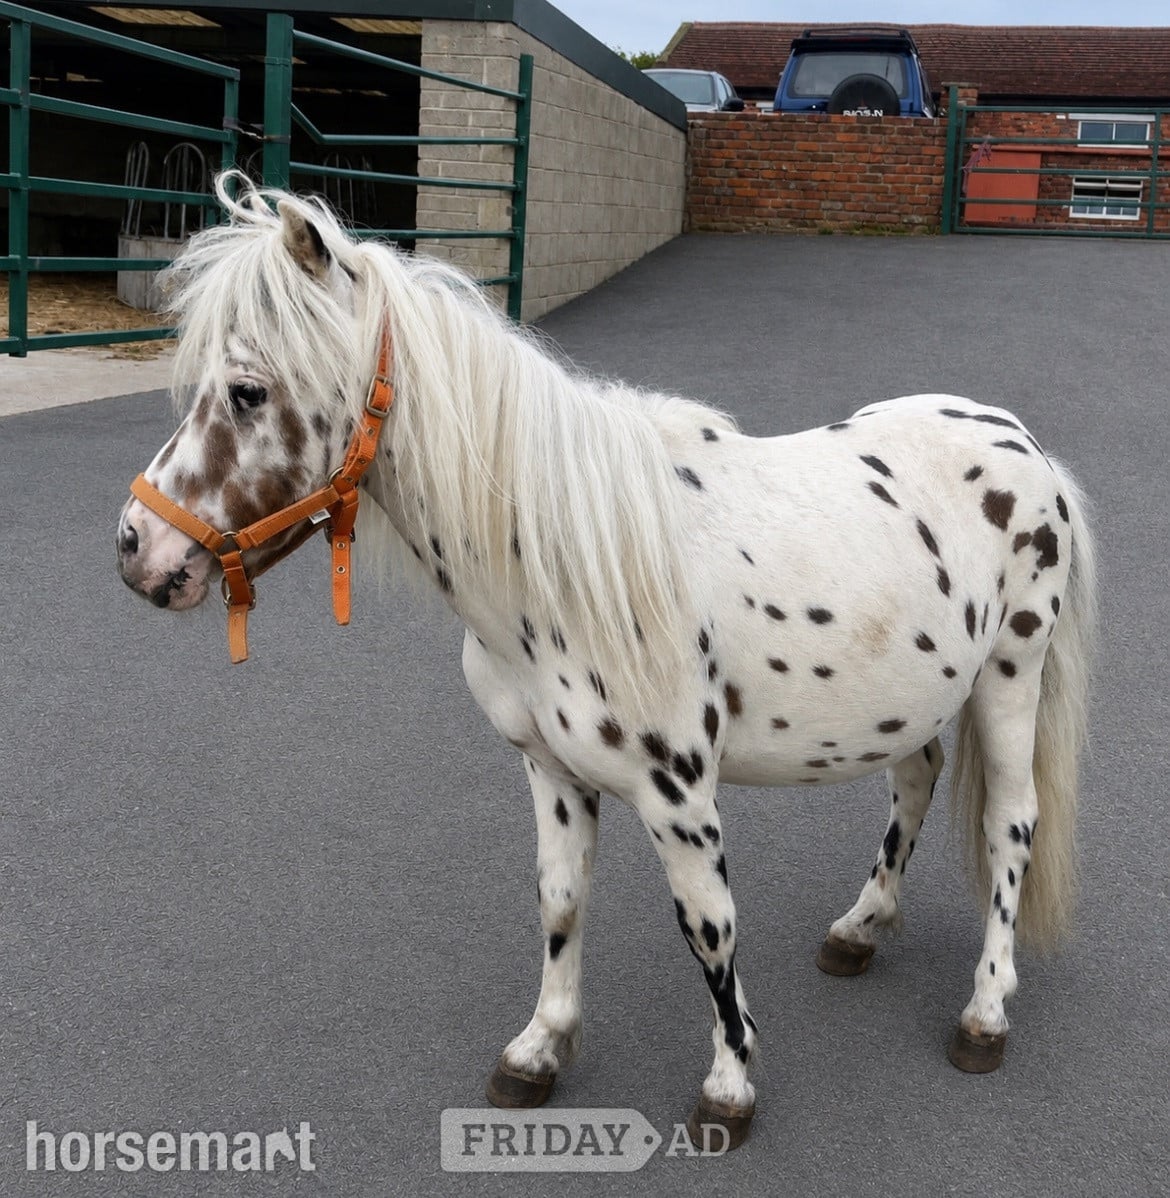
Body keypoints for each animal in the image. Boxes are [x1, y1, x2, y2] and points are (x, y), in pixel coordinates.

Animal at [117, 177, 1097, 1150]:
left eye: (247, 392)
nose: (137, 550)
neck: (572, 564)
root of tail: (1023, 442)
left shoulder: (680, 798)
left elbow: (708, 928)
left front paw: (730, 1085)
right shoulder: (550, 770)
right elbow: (560, 899)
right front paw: (539, 1050)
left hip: (1010, 678)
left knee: (1011, 822)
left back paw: (984, 1014)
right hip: (914, 698)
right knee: (917, 776)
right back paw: (861, 929)